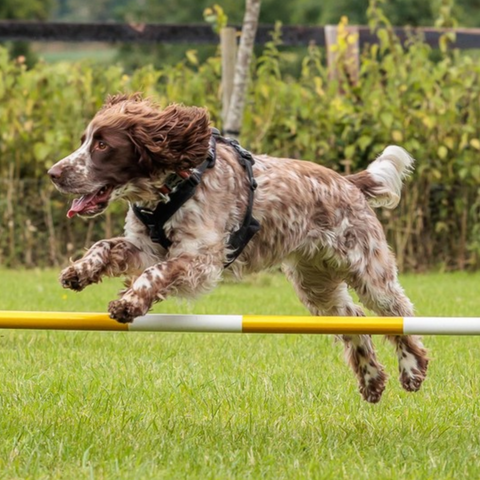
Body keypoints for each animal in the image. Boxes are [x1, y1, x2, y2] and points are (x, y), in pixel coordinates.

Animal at [47, 94, 428, 402]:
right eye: (84, 141)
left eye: (102, 145)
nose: (53, 173)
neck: (171, 188)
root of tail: (349, 182)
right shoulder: (145, 246)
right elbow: (105, 246)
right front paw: (79, 271)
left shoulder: (200, 257)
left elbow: (156, 273)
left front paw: (129, 303)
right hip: (315, 284)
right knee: (355, 319)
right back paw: (371, 378)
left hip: (369, 271)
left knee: (399, 314)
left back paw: (412, 368)